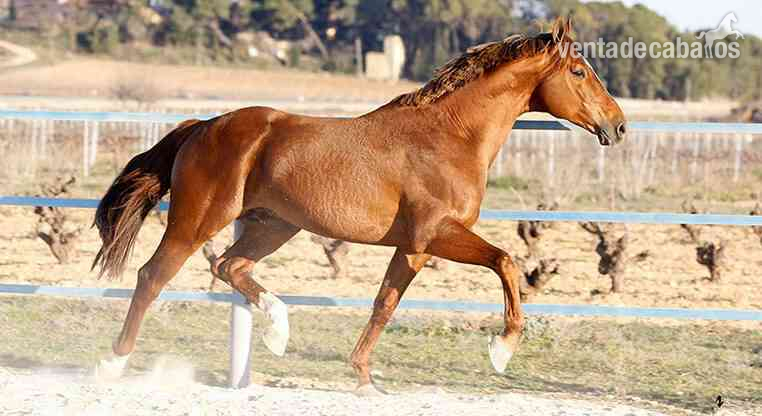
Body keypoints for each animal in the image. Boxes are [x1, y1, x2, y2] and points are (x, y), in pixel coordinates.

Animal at [92, 17, 626, 394]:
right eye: (579, 71)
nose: (618, 126)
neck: (449, 137)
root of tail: (203, 126)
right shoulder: (436, 234)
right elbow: (507, 261)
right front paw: (501, 349)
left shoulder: (413, 248)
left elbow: (384, 305)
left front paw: (366, 380)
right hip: (198, 220)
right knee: (153, 276)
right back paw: (112, 364)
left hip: (274, 225)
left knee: (229, 266)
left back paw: (278, 332)